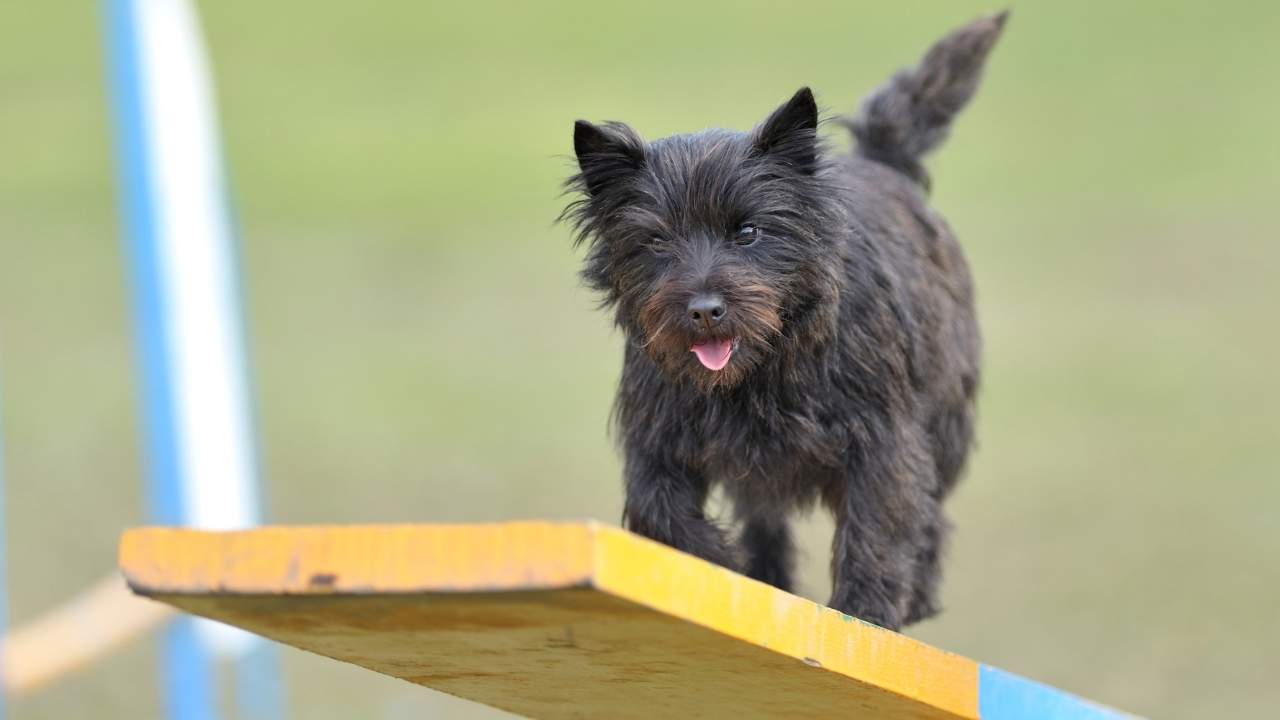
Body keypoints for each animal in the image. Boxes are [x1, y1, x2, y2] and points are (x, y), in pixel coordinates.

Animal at [565, 12, 1003, 627]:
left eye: (748, 231)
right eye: (655, 242)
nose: (705, 309)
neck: (759, 372)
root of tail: (883, 161)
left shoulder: (882, 437)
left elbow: (877, 526)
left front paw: (864, 614)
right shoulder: (656, 435)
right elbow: (660, 510)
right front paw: (723, 567)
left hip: (945, 416)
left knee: (929, 507)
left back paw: (914, 595)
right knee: (765, 520)